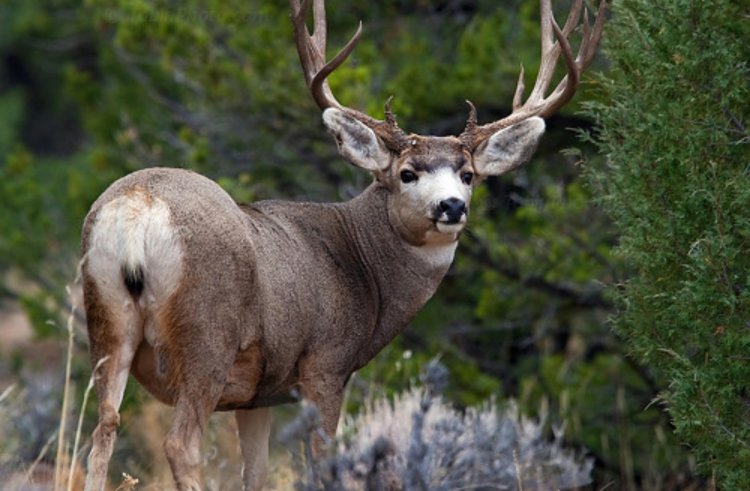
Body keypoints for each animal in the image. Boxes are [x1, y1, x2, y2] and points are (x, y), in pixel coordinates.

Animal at [82, 1, 608, 490]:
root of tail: (140, 207)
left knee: (103, 428)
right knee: (180, 444)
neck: (363, 266)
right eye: (407, 173)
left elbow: (257, 473)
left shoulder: (257, 391)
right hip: (207, 336)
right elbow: (321, 464)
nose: (452, 206)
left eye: (468, 174)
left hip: (106, 319)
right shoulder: (326, 364)